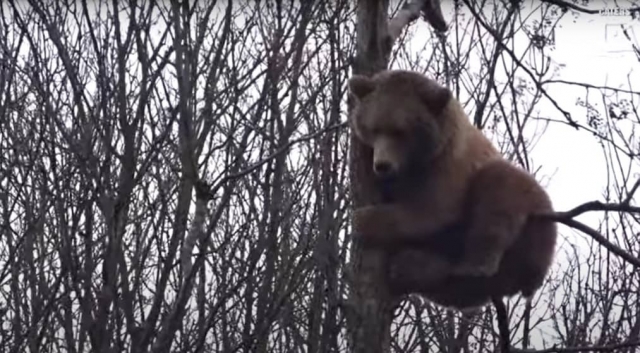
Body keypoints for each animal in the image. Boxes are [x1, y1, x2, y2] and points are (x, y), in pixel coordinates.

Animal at [348, 69, 556, 310]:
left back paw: (473, 265)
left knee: (498, 194)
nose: (382, 165)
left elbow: (433, 210)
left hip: (532, 216)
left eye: (400, 131)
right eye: (374, 128)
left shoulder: (448, 162)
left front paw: (362, 220)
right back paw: (411, 267)